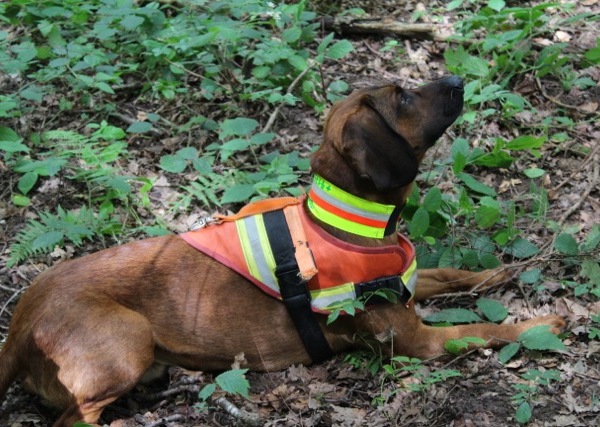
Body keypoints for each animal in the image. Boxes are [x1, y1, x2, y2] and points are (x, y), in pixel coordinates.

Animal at [0, 75, 564, 426]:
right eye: (402, 97)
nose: (455, 81)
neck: (349, 218)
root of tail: (18, 327)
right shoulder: (415, 340)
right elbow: (485, 329)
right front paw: (545, 323)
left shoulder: (404, 284)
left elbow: (451, 275)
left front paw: (506, 272)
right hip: (127, 342)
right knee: (72, 418)